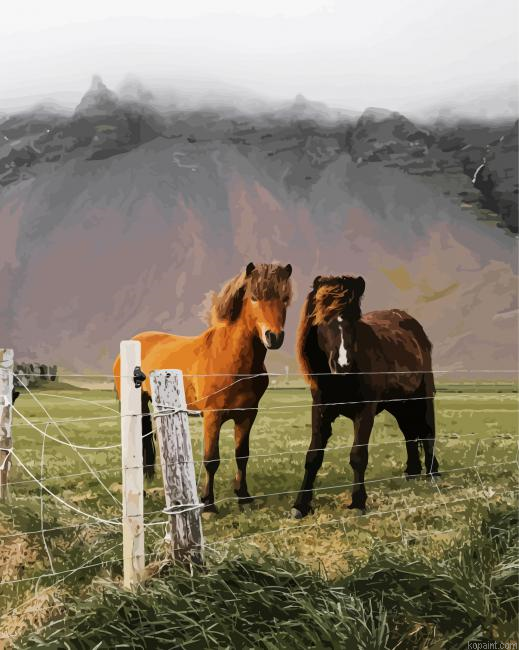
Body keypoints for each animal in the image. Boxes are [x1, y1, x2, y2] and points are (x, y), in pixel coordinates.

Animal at [113, 262, 293, 511]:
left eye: (285, 299)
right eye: (255, 297)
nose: (274, 337)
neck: (232, 360)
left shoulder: (247, 415)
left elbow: (242, 455)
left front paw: (243, 496)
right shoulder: (212, 416)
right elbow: (211, 459)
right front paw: (208, 503)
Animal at [291, 274, 439, 519]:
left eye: (354, 319)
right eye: (323, 318)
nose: (343, 364)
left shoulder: (365, 411)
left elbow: (358, 456)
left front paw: (358, 502)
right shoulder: (320, 410)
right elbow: (313, 456)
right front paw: (300, 505)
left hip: (423, 396)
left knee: (428, 431)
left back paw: (432, 472)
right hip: (399, 404)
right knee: (409, 433)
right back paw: (412, 472)